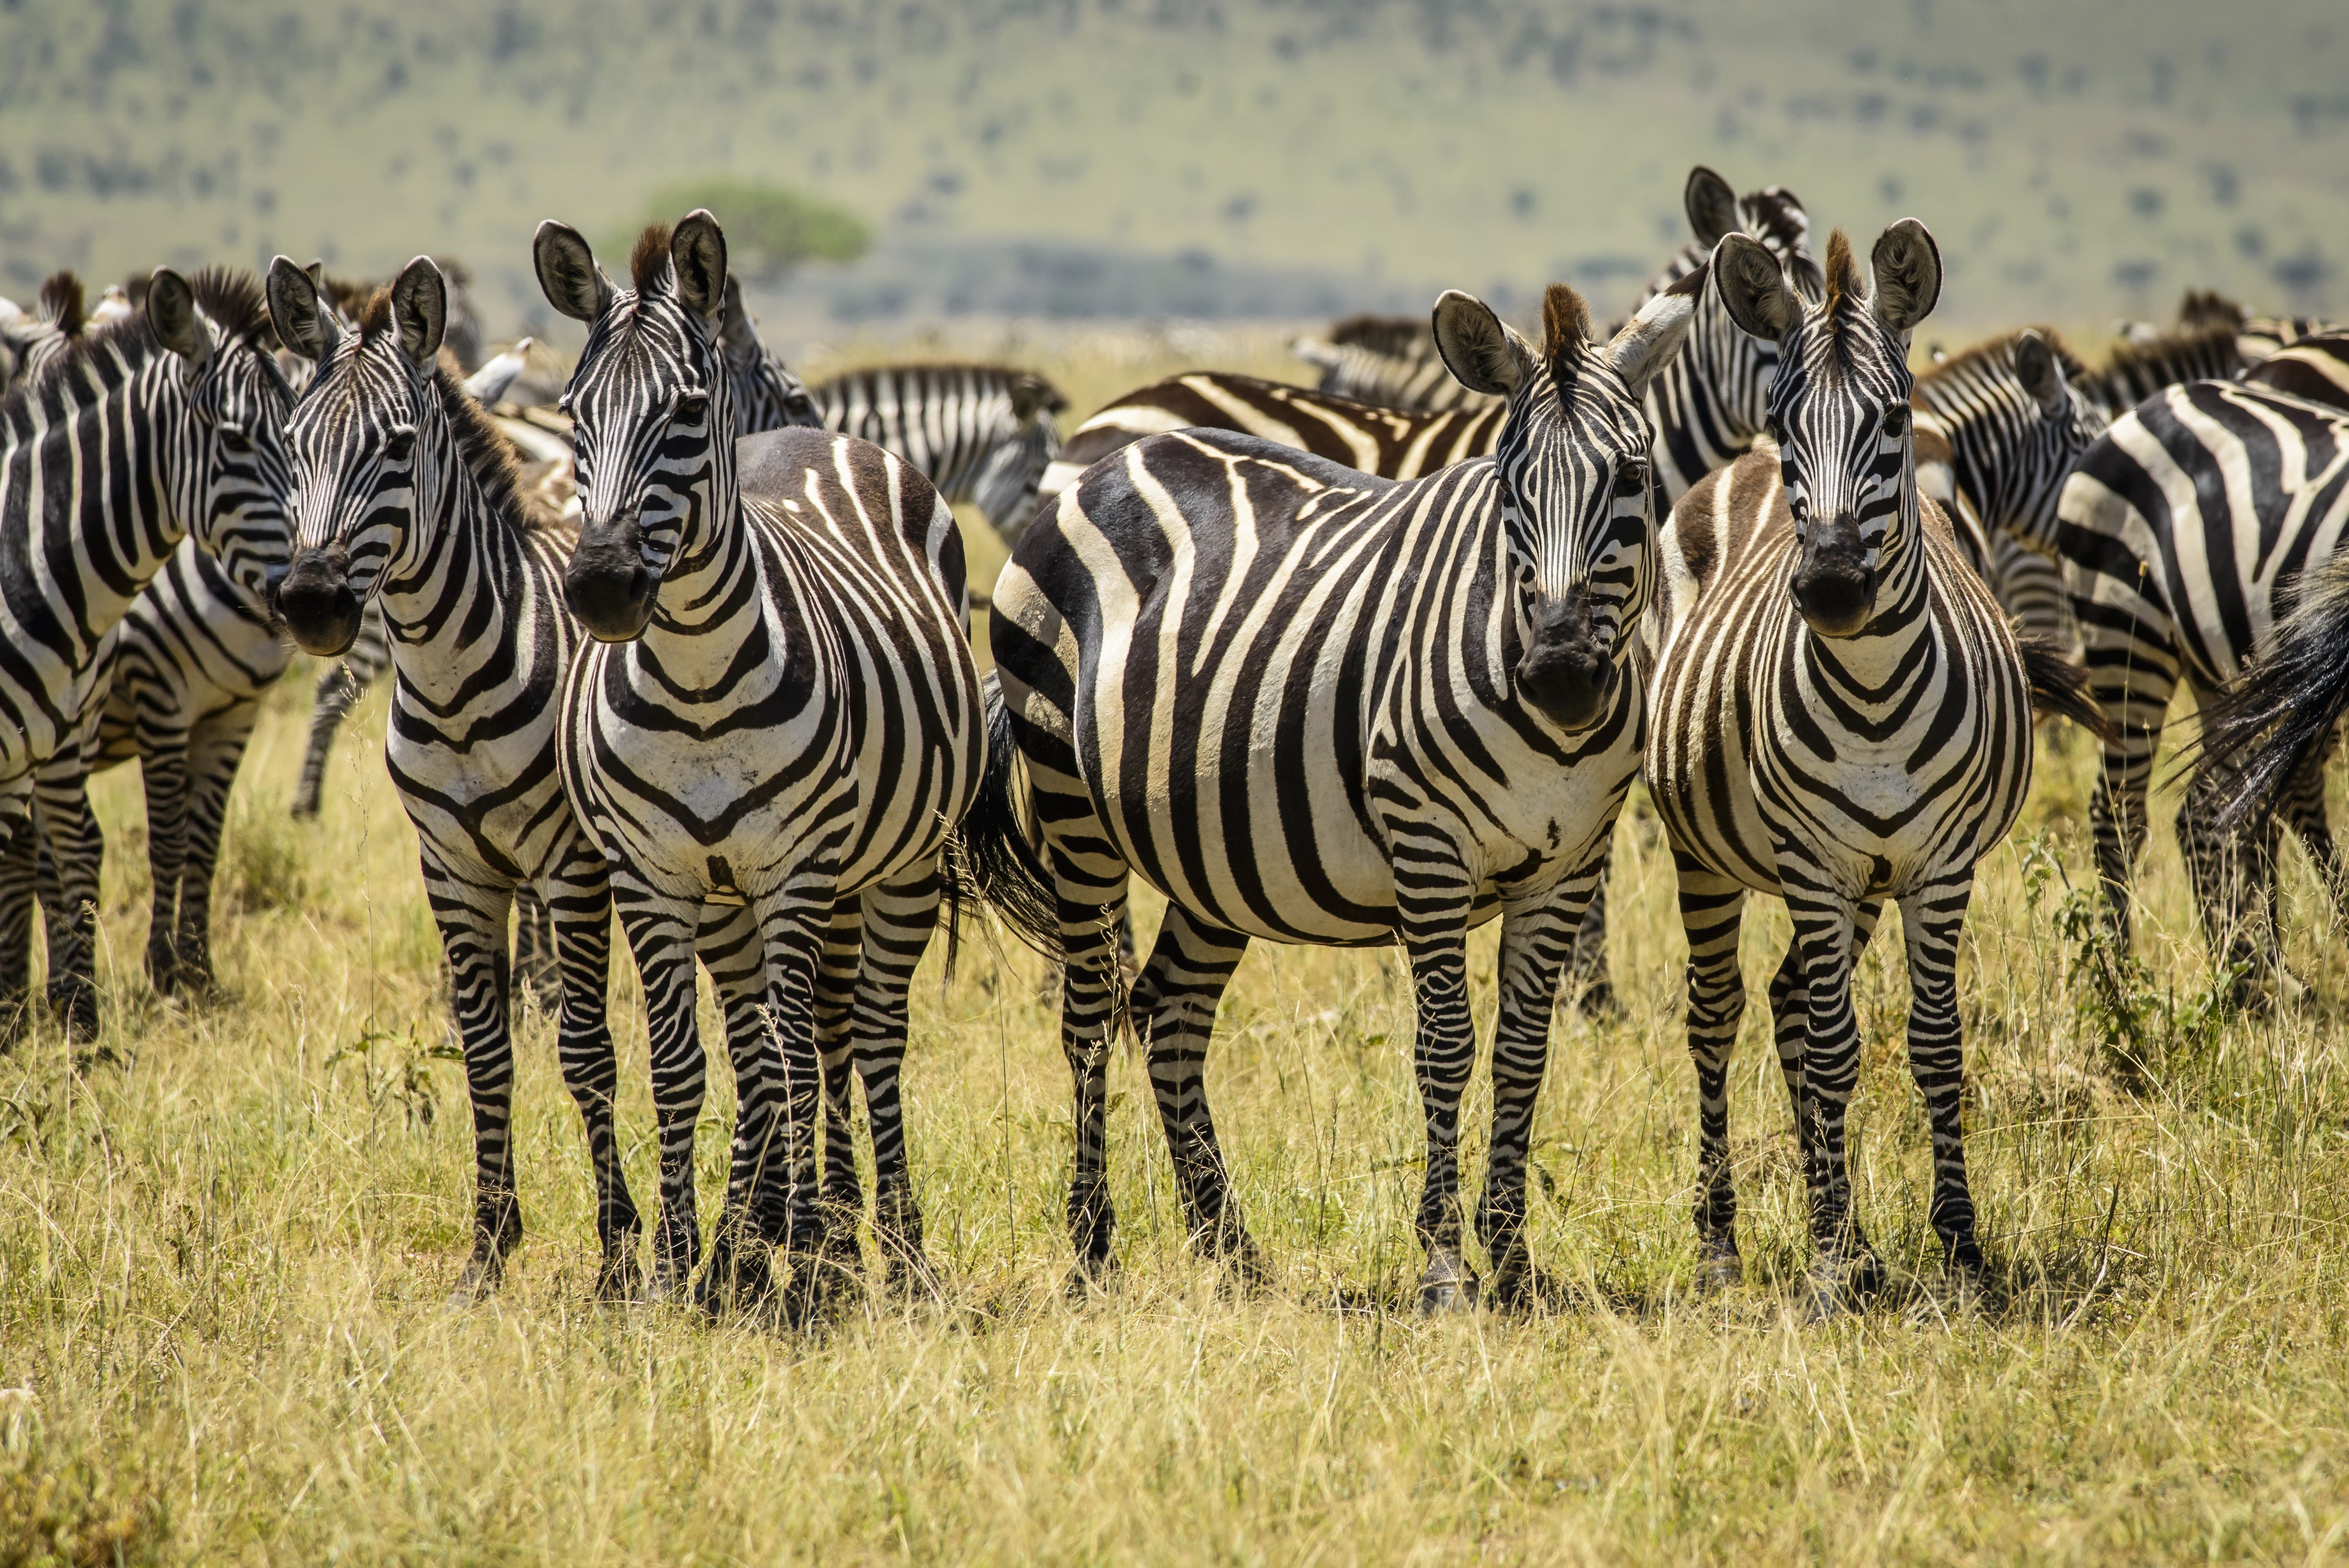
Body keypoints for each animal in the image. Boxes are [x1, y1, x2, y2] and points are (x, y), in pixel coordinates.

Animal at [0, 268, 293, 1041]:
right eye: (236, 439)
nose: (327, 595)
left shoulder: (228, 715)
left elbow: (197, 841)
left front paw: (191, 975)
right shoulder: (162, 696)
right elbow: (164, 838)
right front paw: (161, 975)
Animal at [535, 211, 984, 1309]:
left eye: (689, 411)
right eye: (571, 412)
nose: (602, 590)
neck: (698, 680)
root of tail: (816, 436)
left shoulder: (796, 869)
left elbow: (793, 1061)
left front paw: (806, 1259)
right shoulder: (652, 876)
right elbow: (686, 1066)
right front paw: (680, 1261)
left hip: (898, 865)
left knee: (866, 1038)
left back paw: (889, 1247)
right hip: (728, 897)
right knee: (765, 1044)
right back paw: (755, 1244)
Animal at [958, 273, 1703, 1309]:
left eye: (1632, 475)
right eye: (1508, 484)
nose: (1560, 675)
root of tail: (1115, 458)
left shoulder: (1570, 863)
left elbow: (1524, 1050)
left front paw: (1514, 1262)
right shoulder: (1429, 844)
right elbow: (1446, 1045)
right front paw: (1443, 1268)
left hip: (1212, 848)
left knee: (1169, 1012)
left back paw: (1230, 1246)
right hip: (1074, 809)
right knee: (1089, 1016)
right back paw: (1093, 1248)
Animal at [1646, 223, 2100, 1312]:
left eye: (1893, 417)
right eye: (1784, 417)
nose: (1832, 588)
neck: (1877, 687)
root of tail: (1732, 469)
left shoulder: (1939, 867)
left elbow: (1932, 1044)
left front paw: (1959, 1245)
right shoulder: (1813, 865)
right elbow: (1838, 1052)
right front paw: (1824, 1261)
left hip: (1861, 883)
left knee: (1783, 1007)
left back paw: (1850, 1235)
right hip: (1710, 853)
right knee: (1719, 1016)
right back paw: (1725, 1241)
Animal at [2054, 377, 2349, 994]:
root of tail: (2148, 406)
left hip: (2224, 671)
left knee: (2217, 811)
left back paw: (2249, 974)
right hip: (2127, 630)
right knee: (2118, 811)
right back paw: (2124, 978)